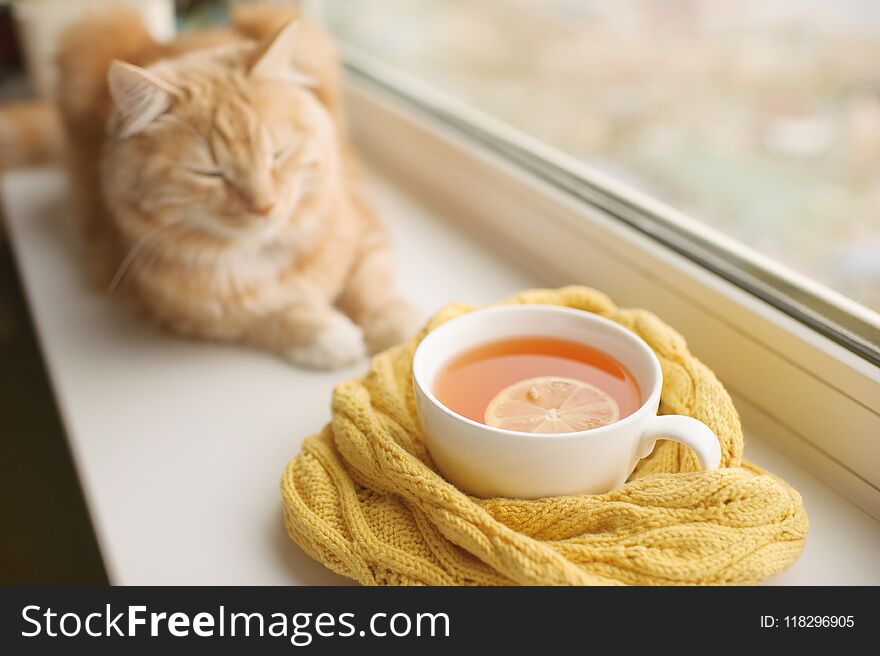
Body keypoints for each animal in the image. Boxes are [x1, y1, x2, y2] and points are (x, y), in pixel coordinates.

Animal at [11, 5, 422, 368]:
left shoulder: (366, 226)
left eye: (277, 153)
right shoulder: (171, 307)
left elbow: (370, 284)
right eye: (210, 173)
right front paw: (327, 335)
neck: (262, 253)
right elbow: (269, 317)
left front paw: (398, 326)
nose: (264, 206)